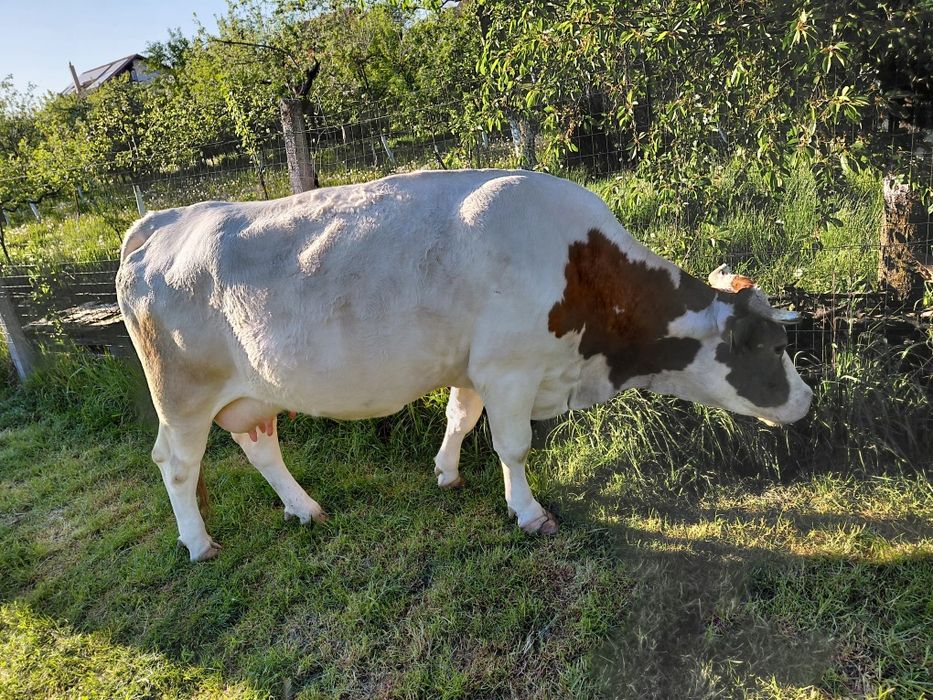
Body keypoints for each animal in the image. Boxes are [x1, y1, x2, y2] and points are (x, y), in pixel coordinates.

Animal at [116, 169, 812, 562]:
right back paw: (199, 543)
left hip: (251, 390)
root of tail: (166, 220)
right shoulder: (509, 368)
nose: (807, 401)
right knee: (176, 464)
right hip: (181, 392)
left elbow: (459, 417)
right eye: (770, 347)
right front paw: (528, 513)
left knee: (261, 444)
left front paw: (447, 473)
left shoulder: (476, 367)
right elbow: (512, 445)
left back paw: (304, 508)